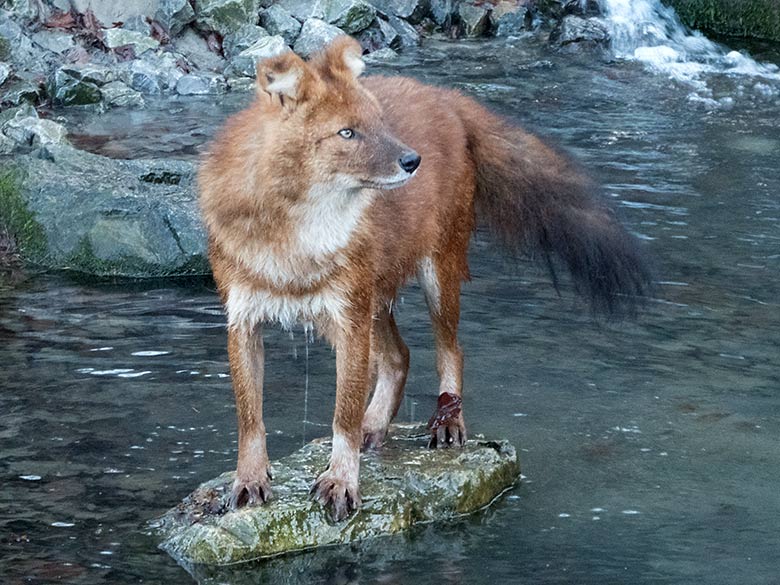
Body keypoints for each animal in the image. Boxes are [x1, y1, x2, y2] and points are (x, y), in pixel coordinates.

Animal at [200, 36, 652, 520]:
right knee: (399, 356)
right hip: (373, 295)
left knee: (449, 350)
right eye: (347, 132)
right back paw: (376, 425)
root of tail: (445, 95)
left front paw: (341, 482)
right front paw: (250, 480)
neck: (295, 236)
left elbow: (343, 414)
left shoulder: (348, 315)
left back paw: (447, 421)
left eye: (379, 122)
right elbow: (250, 417)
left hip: (436, 273)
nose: (413, 159)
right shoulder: (244, 318)